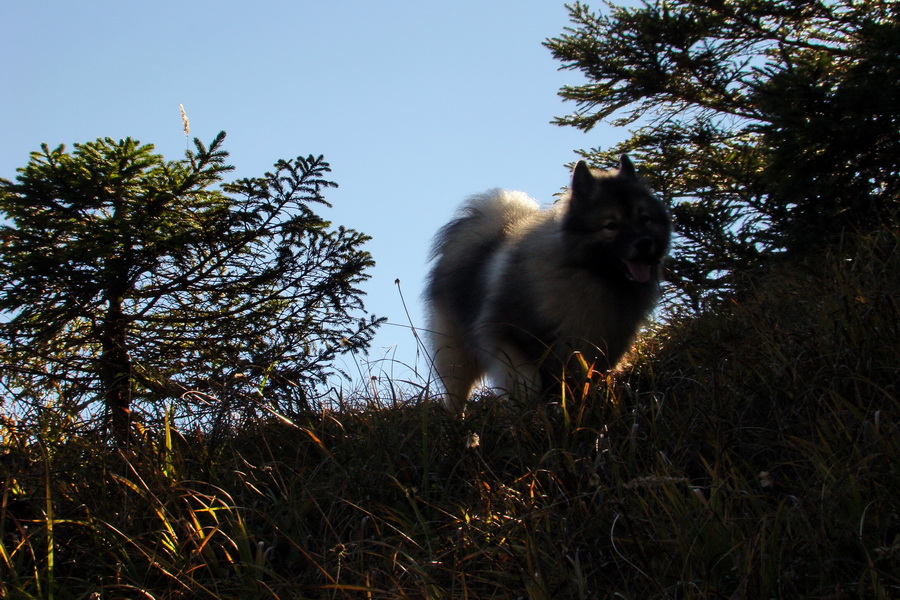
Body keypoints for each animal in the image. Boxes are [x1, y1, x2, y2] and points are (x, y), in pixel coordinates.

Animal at [422, 155, 668, 414]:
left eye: (645, 219)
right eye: (611, 225)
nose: (644, 243)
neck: (590, 278)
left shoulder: (597, 349)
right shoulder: (508, 337)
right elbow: (527, 382)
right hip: (455, 352)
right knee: (455, 392)